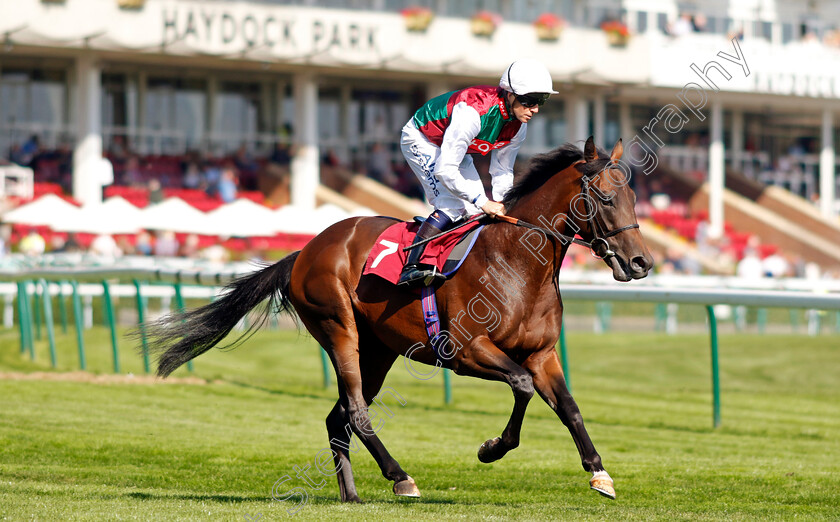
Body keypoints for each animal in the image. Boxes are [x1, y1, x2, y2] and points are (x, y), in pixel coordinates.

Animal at [141, 136, 656, 502]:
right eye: (604, 197)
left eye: (634, 195)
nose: (641, 262)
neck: (517, 262)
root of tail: (305, 250)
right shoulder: (466, 351)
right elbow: (522, 387)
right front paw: (491, 448)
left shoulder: (542, 353)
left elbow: (568, 406)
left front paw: (599, 473)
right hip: (339, 329)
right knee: (355, 410)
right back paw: (400, 477)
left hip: (380, 349)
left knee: (338, 417)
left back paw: (351, 495)